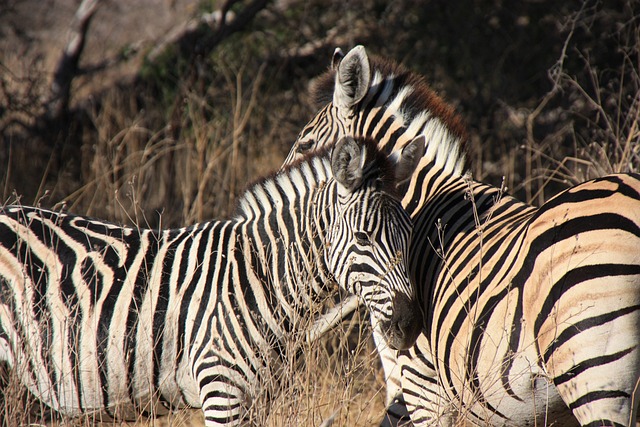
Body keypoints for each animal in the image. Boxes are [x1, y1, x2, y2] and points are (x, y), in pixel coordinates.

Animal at [2, 136, 428, 427]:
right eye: (363, 238)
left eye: (410, 234)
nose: (409, 325)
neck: (261, 277)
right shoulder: (222, 392)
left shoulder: (256, 401)